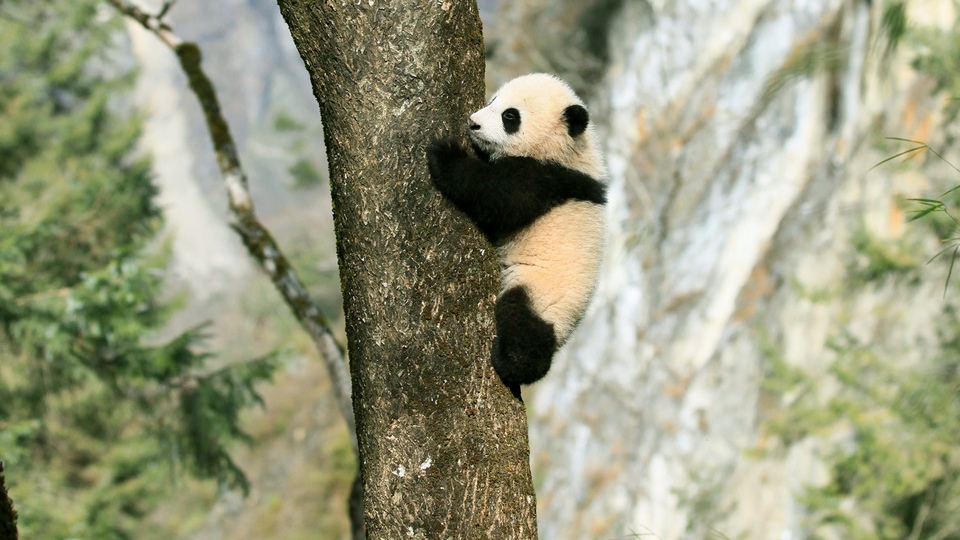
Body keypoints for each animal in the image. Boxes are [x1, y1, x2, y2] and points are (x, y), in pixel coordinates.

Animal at [426, 73, 607, 389]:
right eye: (492, 100)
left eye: (510, 116)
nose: (473, 123)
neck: (566, 149)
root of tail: (566, 331)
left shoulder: (545, 179)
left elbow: (496, 196)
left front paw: (445, 154)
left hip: (543, 294)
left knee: (523, 324)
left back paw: (512, 364)